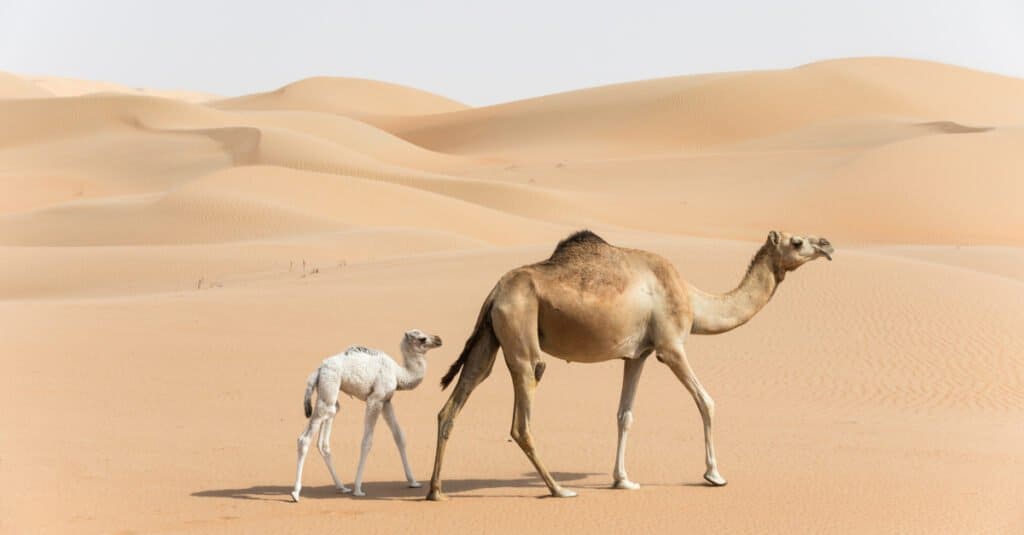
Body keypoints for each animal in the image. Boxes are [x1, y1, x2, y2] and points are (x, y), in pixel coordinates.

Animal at [292, 323, 444, 500]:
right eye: (422, 338)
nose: (439, 339)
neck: (399, 373)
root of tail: (318, 369)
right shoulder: (375, 399)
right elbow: (367, 441)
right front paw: (358, 489)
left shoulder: (387, 401)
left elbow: (399, 436)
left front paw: (413, 482)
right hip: (329, 385)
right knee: (304, 439)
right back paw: (296, 493)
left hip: (329, 395)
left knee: (324, 438)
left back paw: (341, 487)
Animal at [423, 229, 831, 500]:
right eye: (797, 242)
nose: (827, 245)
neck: (693, 300)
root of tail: (495, 292)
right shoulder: (670, 346)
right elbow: (706, 401)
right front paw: (714, 474)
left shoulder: (638, 355)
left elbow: (625, 415)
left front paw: (623, 480)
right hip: (523, 339)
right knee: (521, 418)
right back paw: (559, 489)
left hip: (489, 338)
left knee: (453, 404)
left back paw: (435, 491)